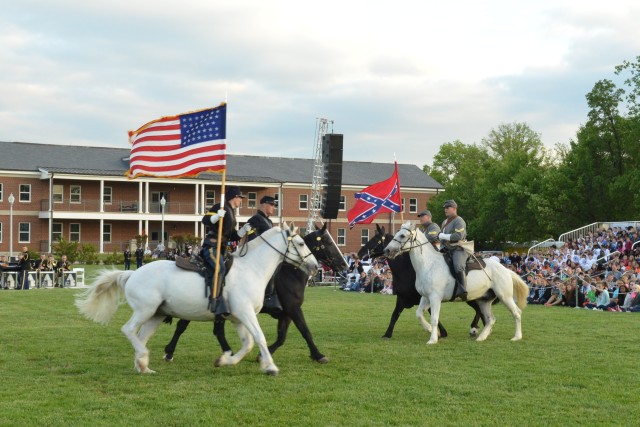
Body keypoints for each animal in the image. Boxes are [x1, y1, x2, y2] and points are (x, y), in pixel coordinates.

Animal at [75, 226, 318, 376]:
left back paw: (144, 366)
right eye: (300, 243)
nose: (315, 266)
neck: (252, 269)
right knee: (128, 330)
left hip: (157, 315)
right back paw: (145, 358)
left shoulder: (238, 317)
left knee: (141, 337)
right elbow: (259, 337)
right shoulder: (246, 313)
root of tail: (133, 273)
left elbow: (248, 343)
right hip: (145, 311)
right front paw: (270, 367)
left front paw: (225, 361)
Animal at [162, 224, 348, 364]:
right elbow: (304, 331)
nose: (344, 265)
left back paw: (227, 353)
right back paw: (170, 352)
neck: (291, 273)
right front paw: (318, 355)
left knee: (216, 331)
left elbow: (282, 337)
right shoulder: (293, 309)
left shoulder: (286, 313)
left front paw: (263, 354)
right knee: (182, 326)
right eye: (328, 242)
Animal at [384, 222, 524, 346]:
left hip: (505, 297)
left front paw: (433, 339)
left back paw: (516, 337)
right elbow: (419, 314)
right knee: (490, 319)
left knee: (516, 313)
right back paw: (481, 337)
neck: (429, 265)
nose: (387, 250)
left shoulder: (435, 298)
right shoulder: (425, 297)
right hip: (483, 300)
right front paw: (429, 329)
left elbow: (434, 319)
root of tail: (505, 269)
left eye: (402, 235)